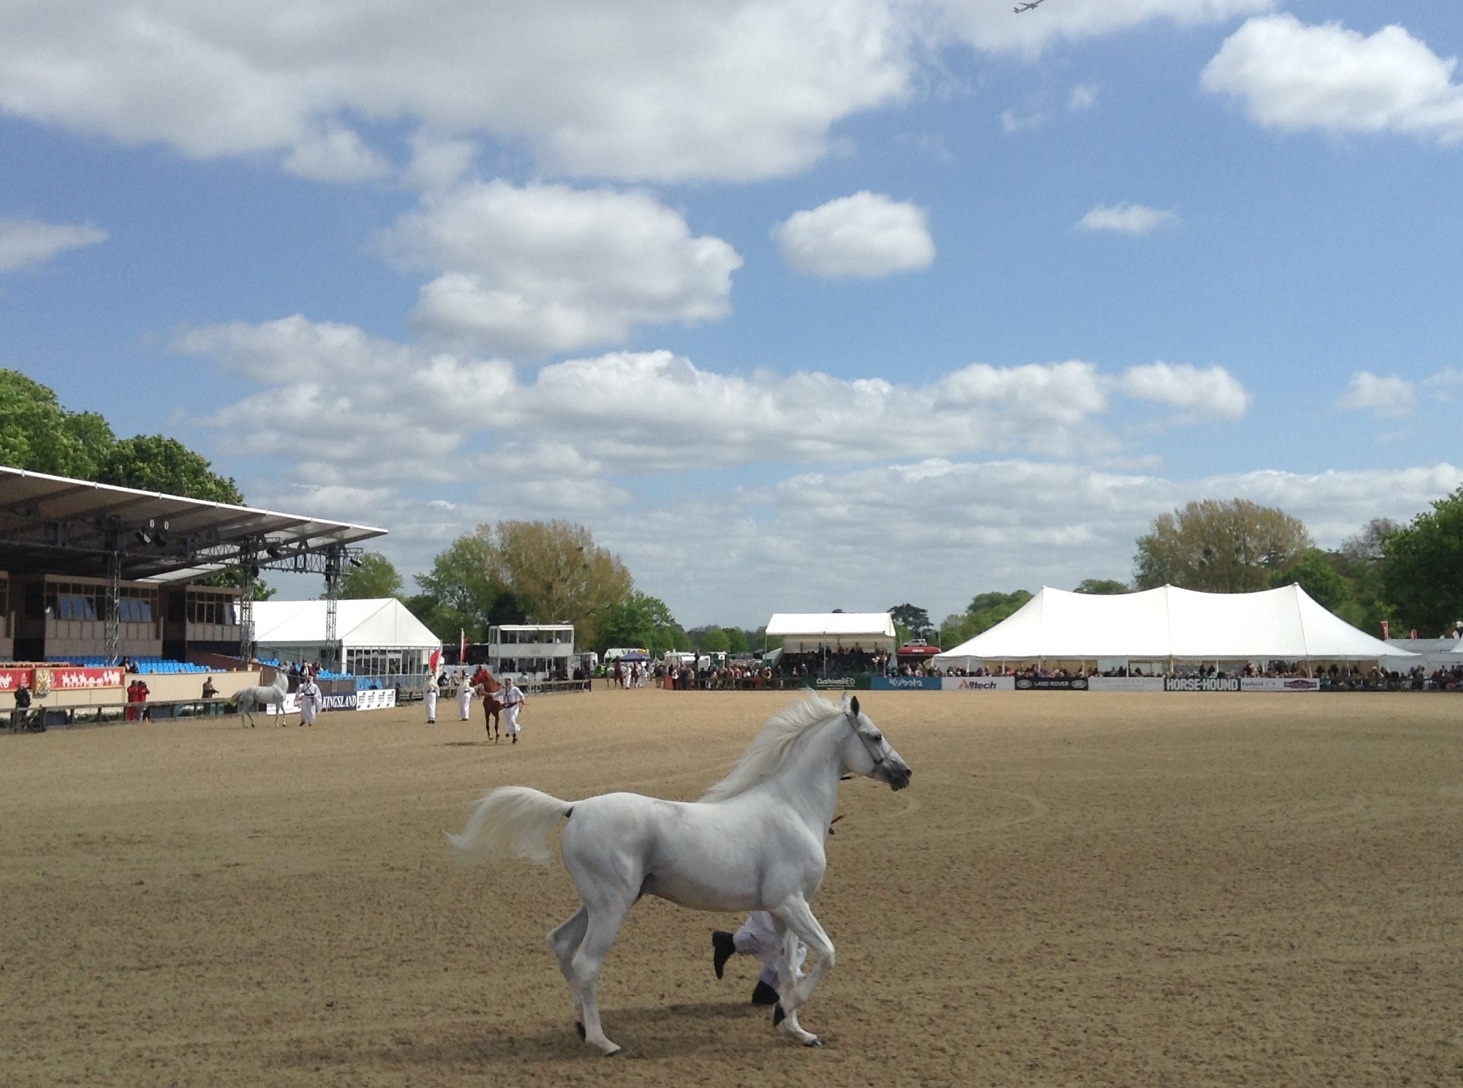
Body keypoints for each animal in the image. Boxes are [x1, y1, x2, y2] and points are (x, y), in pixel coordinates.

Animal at [447, 692, 912, 1055]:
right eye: (875, 735)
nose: (904, 774)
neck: (792, 806)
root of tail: (574, 807)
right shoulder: (792, 903)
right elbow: (826, 955)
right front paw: (784, 1010)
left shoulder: (783, 912)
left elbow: (787, 966)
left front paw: (797, 1030)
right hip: (611, 908)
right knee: (585, 963)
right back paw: (603, 1041)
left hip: (596, 905)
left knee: (560, 944)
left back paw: (581, 1026)